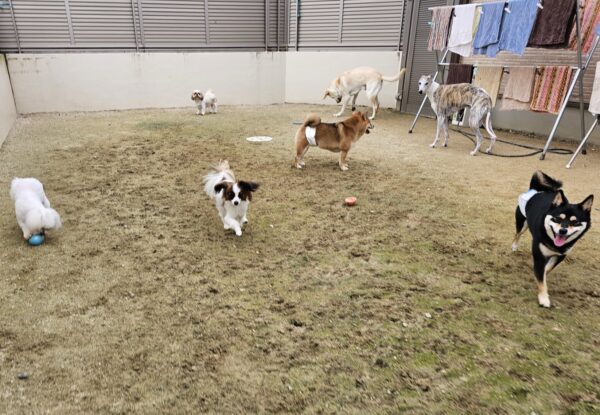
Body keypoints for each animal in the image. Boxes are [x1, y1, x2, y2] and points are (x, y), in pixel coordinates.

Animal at [512, 171, 593, 308]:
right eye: (558, 219)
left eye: (575, 222)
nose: (563, 231)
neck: (554, 244)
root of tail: (537, 190)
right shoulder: (539, 257)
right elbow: (542, 279)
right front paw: (543, 298)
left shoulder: (561, 255)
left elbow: (546, 270)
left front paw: (543, 275)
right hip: (522, 223)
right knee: (517, 234)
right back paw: (514, 246)